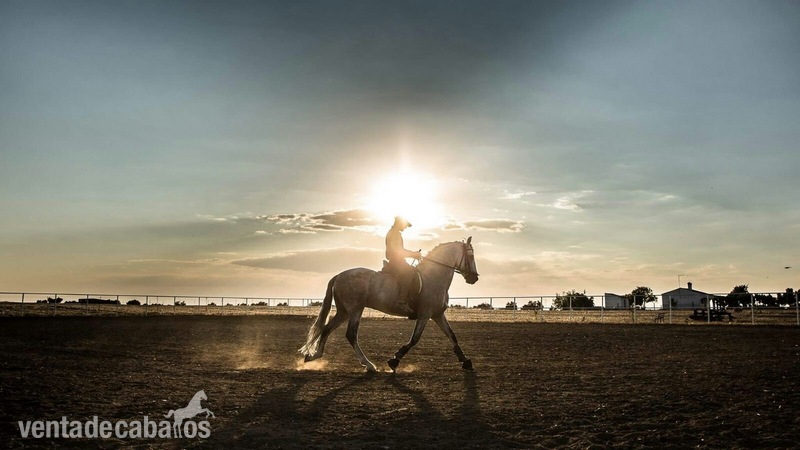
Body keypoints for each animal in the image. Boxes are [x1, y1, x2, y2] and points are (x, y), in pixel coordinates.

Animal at [299, 237, 479, 372]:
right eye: (471, 256)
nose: (474, 278)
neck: (433, 277)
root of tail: (339, 275)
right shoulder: (425, 315)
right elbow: (414, 339)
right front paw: (394, 360)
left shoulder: (438, 315)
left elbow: (452, 336)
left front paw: (466, 361)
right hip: (355, 310)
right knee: (351, 334)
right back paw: (369, 365)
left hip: (344, 311)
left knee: (327, 329)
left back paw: (314, 356)